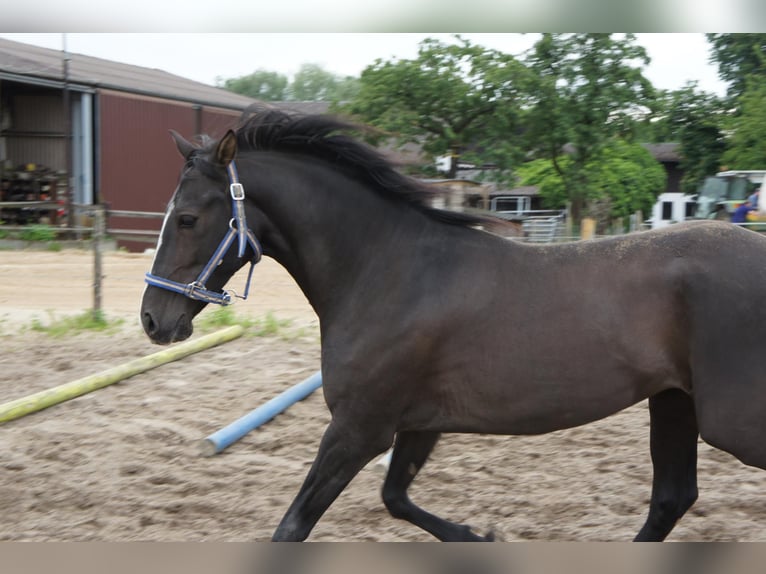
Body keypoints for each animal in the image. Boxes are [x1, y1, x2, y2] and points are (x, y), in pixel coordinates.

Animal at [141, 108, 766, 544]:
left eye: (188, 218)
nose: (153, 320)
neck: (388, 271)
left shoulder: (360, 428)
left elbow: (293, 526)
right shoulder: (416, 423)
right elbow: (394, 497)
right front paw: (478, 535)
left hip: (728, 421)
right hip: (675, 401)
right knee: (671, 500)